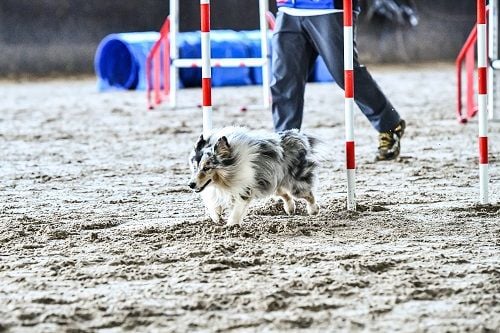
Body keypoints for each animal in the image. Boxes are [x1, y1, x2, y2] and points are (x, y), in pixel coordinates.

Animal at [188, 126, 320, 224]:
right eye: (195, 167)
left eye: (207, 168)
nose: (191, 185)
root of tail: (293, 136)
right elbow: (213, 202)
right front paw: (216, 216)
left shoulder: (244, 189)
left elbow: (237, 210)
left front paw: (231, 225)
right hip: (273, 183)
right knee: (285, 194)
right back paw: (290, 208)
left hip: (295, 185)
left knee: (309, 195)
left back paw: (313, 210)